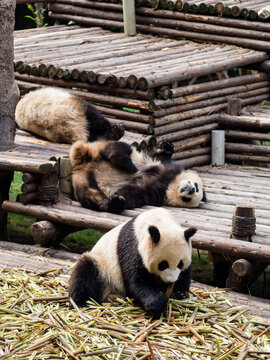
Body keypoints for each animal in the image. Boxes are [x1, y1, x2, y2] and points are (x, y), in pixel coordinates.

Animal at [68, 207, 197, 314]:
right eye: (163, 264)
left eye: (180, 263)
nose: (170, 280)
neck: (160, 222)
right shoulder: (132, 247)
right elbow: (136, 282)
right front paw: (158, 302)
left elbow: (186, 273)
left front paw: (179, 293)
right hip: (102, 267)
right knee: (84, 274)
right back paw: (84, 304)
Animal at [69, 137, 207, 211]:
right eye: (197, 186)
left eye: (187, 199)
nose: (191, 189)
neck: (171, 184)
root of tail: (83, 163)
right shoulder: (164, 165)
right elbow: (157, 156)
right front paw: (166, 146)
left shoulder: (156, 194)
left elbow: (134, 193)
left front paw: (117, 199)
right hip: (99, 148)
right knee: (118, 148)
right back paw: (128, 164)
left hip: (84, 180)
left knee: (89, 194)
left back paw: (106, 203)